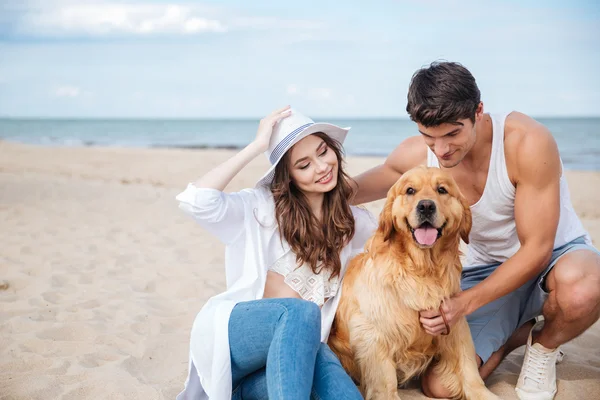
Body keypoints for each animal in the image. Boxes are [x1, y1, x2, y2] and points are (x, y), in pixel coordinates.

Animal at [330, 166, 500, 400]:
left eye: (442, 189)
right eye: (410, 190)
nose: (426, 206)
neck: (422, 269)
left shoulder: (453, 321)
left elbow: (468, 366)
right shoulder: (372, 334)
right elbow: (384, 381)